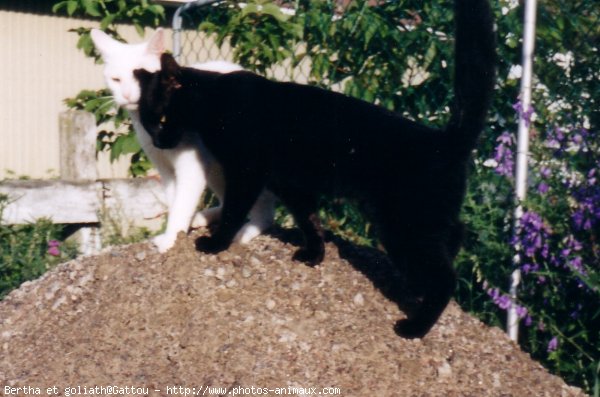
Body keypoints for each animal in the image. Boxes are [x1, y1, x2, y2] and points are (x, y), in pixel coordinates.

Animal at [90, 27, 276, 251]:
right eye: (116, 80)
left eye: (139, 76)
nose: (126, 95)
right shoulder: (165, 169)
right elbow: (175, 201)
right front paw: (176, 233)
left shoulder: (191, 168)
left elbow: (181, 204)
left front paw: (170, 239)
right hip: (216, 169)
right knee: (227, 201)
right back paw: (201, 218)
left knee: (264, 206)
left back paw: (247, 230)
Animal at [136, 0, 496, 338]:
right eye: (148, 123)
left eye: (163, 119)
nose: (159, 142)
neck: (216, 100)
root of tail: (445, 139)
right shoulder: (290, 183)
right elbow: (309, 218)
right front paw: (314, 254)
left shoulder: (247, 172)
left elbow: (234, 211)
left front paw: (215, 243)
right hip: (427, 223)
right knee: (456, 237)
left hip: (405, 227)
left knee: (446, 278)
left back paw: (415, 327)